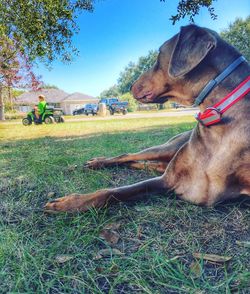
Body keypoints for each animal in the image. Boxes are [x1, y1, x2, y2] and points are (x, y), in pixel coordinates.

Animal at [44, 24, 249, 211]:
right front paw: (70, 203)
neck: (216, 121)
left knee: (145, 163)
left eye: (159, 54)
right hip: (166, 148)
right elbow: (112, 191)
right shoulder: (167, 179)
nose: (129, 86)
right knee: (128, 156)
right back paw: (95, 163)